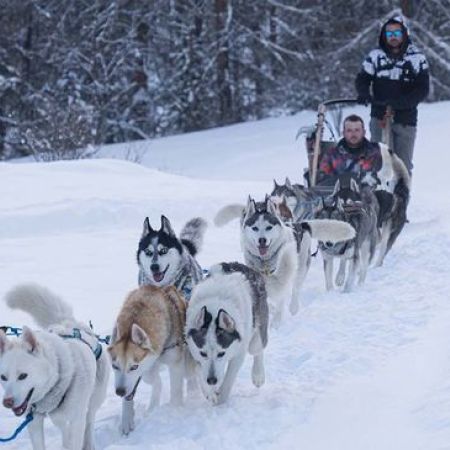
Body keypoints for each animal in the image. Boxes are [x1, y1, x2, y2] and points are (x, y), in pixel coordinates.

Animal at [0, 284, 109, 450]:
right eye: (3, 377)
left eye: (23, 375)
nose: (7, 402)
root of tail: (69, 323)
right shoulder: (34, 421)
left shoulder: (76, 420)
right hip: (60, 418)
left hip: (93, 401)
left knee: (89, 421)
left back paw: (89, 444)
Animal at [107, 284, 186, 436]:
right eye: (115, 366)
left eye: (133, 367)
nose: (119, 392)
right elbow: (146, 382)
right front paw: (127, 419)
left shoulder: (175, 364)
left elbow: (175, 390)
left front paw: (174, 410)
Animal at [185, 260, 268, 404]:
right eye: (203, 353)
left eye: (221, 353)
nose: (212, 380)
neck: (214, 307)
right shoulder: (193, 351)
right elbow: (199, 370)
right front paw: (210, 393)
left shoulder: (238, 352)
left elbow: (229, 378)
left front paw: (221, 399)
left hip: (256, 333)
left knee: (257, 349)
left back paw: (258, 375)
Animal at [214, 195, 356, 326]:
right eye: (254, 228)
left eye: (268, 227)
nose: (262, 240)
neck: (265, 261)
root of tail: (301, 225)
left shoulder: (281, 275)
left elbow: (280, 297)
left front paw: (277, 321)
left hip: (300, 267)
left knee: (295, 289)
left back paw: (293, 307)